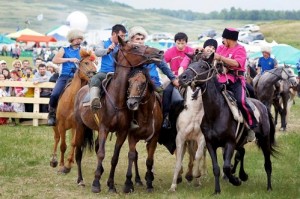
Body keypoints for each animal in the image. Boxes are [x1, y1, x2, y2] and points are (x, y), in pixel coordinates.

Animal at [72, 36, 163, 193]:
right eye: (135, 47)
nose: (159, 52)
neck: (116, 100)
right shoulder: (104, 128)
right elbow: (101, 154)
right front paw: (96, 184)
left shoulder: (122, 132)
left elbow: (115, 157)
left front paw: (111, 185)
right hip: (80, 126)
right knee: (78, 151)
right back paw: (80, 180)